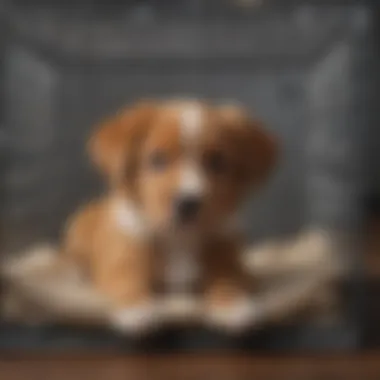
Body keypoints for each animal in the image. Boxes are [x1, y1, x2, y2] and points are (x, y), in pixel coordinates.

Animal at [61, 99, 276, 334]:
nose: (188, 204)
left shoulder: (226, 253)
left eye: (217, 162)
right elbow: (125, 280)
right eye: (157, 159)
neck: (178, 237)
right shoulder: (122, 257)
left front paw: (234, 303)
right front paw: (136, 307)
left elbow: (229, 278)